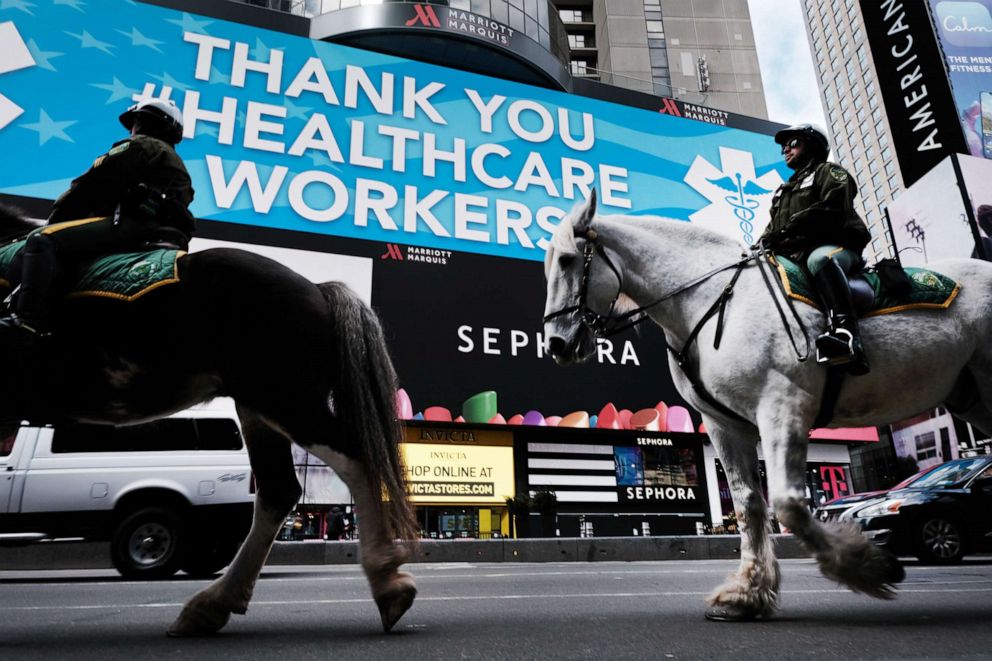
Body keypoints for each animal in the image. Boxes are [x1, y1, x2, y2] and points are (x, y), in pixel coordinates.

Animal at [0, 209, 416, 636]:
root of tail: (317, 288)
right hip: (259, 403)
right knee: (279, 490)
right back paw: (213, 604)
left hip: (285, 396)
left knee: (355, 459)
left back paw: (387, 581)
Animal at [544, 189, 992, 620]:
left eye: (567, 260)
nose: (556, 344)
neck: (707, 300)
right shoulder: (722, 424)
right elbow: (748, 505)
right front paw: (746, 595)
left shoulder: (783, 405)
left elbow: (788, 502)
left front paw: (867, 566)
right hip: (971, 397)